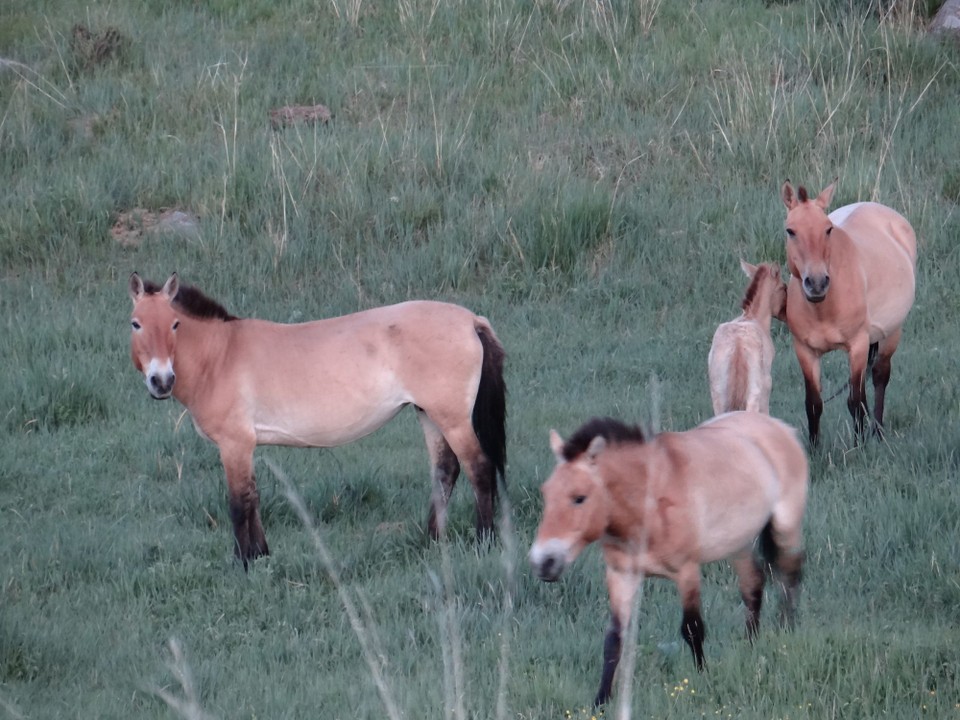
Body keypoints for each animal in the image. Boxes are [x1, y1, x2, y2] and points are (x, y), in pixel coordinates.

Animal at [128, 272, 510, 564]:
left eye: (175, 324)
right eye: (136, 324)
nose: (161, 381)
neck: (220, 356)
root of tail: (470, 320)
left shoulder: (234, 444)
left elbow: (239, 503)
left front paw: (243, 562)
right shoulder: (245, 447)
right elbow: (253, 497)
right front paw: (262, 555)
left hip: (453, 419)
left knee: (478, 467)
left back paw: (484, 540)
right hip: (429, 414)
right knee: (445, 470)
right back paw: (430, 540)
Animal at [528, 414, 808, 704]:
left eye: (579, 498)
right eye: (546, 493)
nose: (543, 562)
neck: (646, 503)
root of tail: (780, 427)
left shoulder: (687, 572)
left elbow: (692, 629)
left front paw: (701, 677)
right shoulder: (620, 575)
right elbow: (614, 638)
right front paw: (601, 700)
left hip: (786, 527)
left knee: (790, 575)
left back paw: (785, 635)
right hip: (738, 544)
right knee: (753, 585)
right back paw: (751, 646)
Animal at [704, 262, 788, 414]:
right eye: (783, 287)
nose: (786, 315)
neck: (752, 317)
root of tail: (737, 346)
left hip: (718, 393)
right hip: (755, 390)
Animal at [780, 179, 916, 444]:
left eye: (828, 229)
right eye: (791, 231)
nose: (817, 283)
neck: (824, 308)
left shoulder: (857, 346)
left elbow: (855, 400)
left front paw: (859, 446)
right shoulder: (805, 351)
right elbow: (813, 404)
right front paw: (814, 449)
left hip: (892, 332)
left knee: (880, 375)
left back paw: (877, 433)